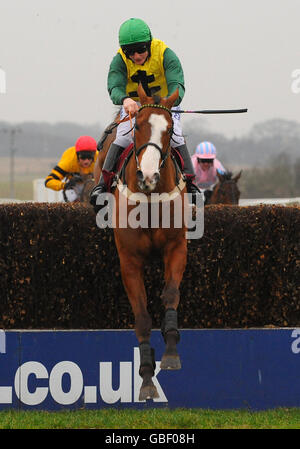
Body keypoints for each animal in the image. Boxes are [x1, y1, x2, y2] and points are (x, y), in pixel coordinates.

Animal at [94, 84, 188, 400]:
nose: (148, 176)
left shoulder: (176, 248)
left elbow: (170, 294)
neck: (150, 198)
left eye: (168, 130)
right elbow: (142, 317)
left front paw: (170, 353)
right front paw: (147, 378)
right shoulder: (130, 261)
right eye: (138, 127)